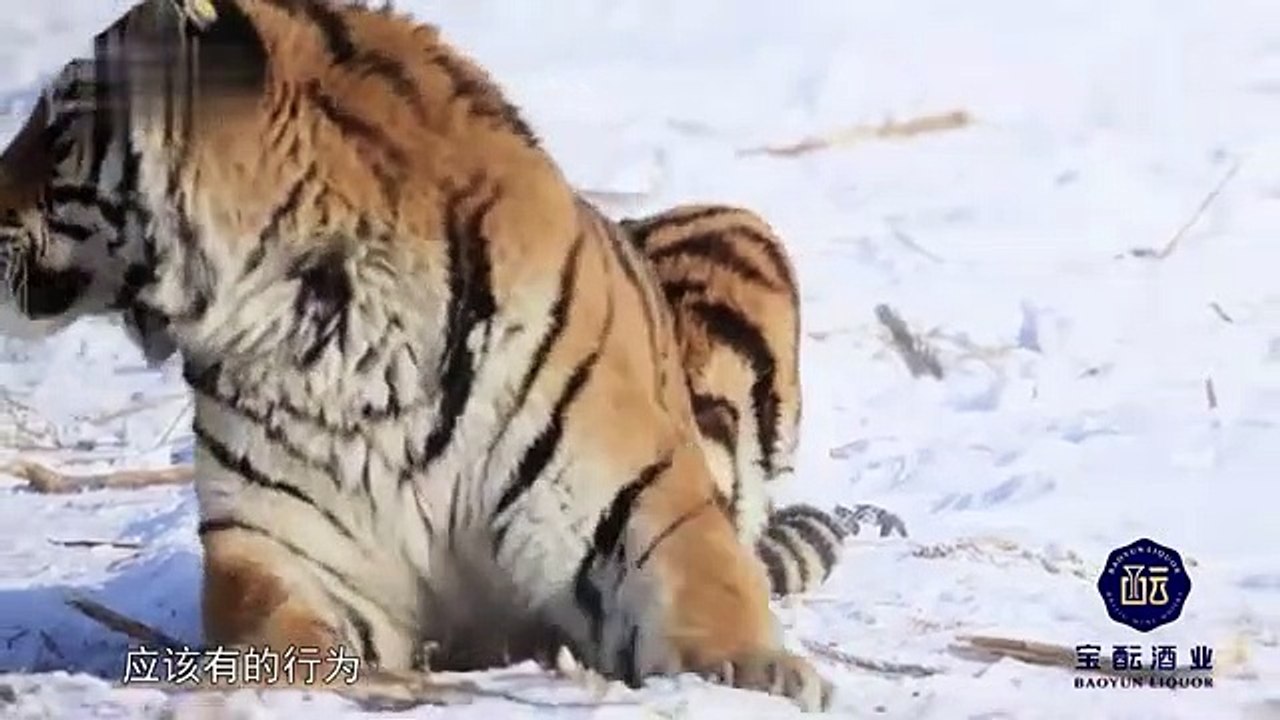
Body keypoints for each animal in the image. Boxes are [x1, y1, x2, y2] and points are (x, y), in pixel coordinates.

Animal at [0, 0, 833, 711]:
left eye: (62, 122)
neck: (331, 330)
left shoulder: (645, 504)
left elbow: (713, 594)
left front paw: (763, 676)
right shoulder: (280, 551)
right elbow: (279, 637)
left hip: (737, 229)